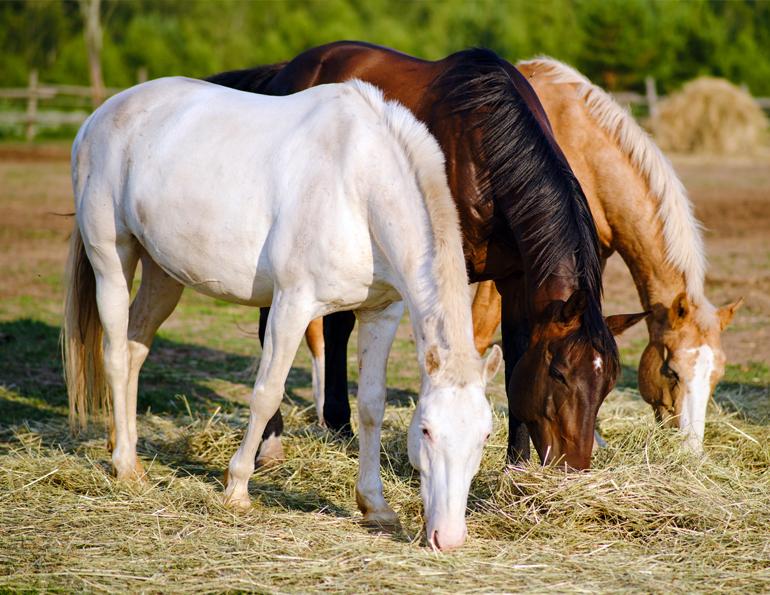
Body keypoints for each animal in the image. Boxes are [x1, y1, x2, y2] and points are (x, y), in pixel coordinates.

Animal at [63, 77, 503, 552]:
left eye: (484, 435)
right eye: (426, 430)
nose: (449, 537)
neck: (359, 189)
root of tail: (100, 115)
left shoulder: (381, 313)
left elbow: (371, 405)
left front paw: (375, 507)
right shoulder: (293, 305)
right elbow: (266, 393)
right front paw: (236, 489)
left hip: (164, 274)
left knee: (134, 351)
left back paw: (123, 448)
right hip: (113, 259)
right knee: (114, 354)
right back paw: (126, 467)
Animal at [209, 41, 646, 470]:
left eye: (607, 382)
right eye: (559, 373)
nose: (573, 466)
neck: (483, 152)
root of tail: (289, 69)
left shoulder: (517, 280)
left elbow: (515, 358)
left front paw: (515, 463)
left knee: (336, 329)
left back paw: (340, 426)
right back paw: (272, 441)